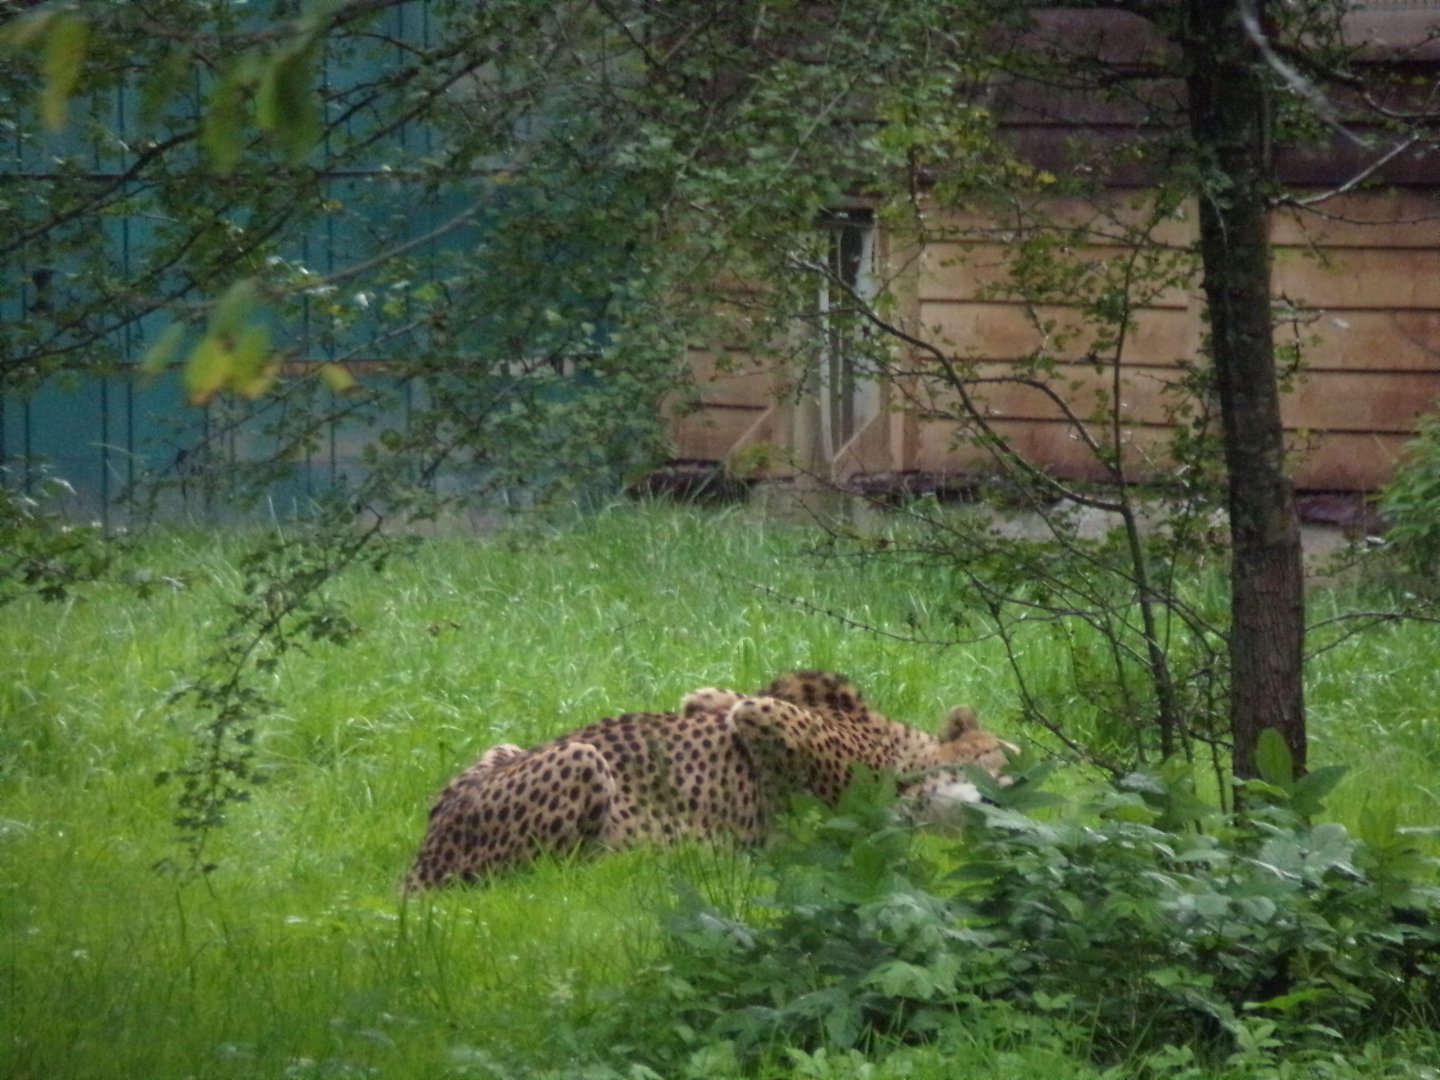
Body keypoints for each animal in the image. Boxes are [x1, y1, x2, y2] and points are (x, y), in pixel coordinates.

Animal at [404, 670, 1015, 890]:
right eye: (1006, 759)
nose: (1016, 800)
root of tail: (422, 861)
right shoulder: (765, 713)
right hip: (579, 756)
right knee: (545, 877)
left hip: (505, 751)